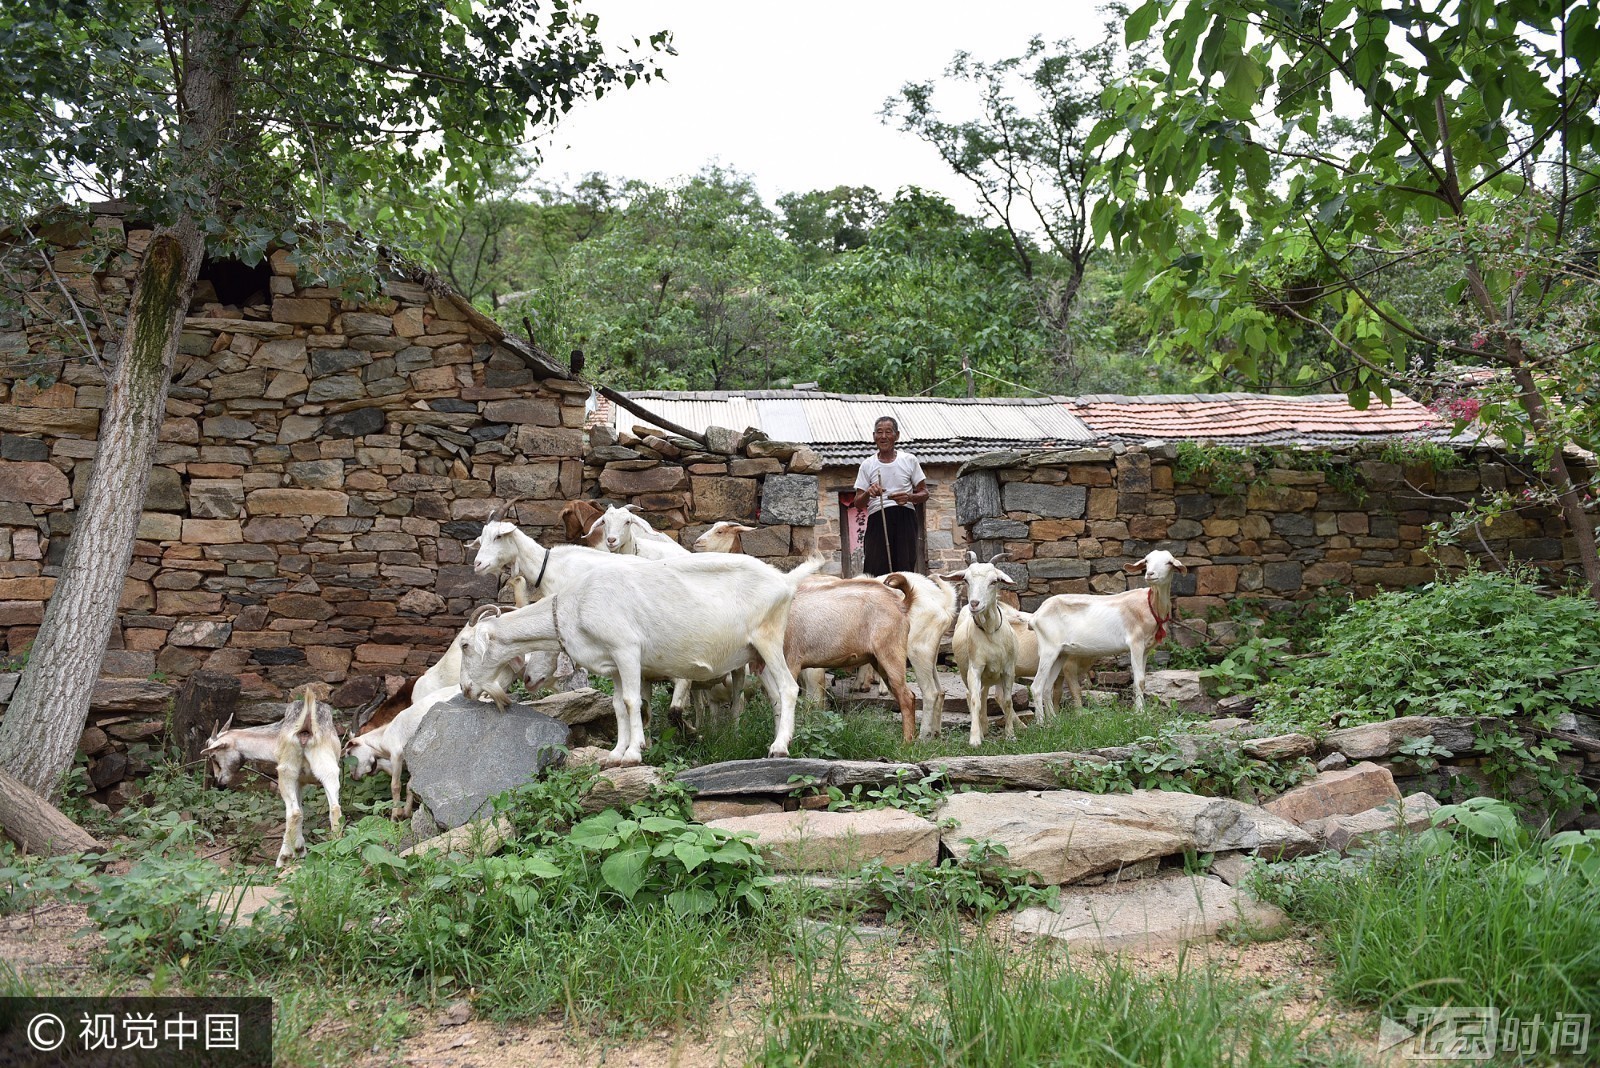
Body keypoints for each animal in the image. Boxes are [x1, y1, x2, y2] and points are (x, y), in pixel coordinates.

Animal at [203, 693, 344, 869]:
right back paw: (335, 849)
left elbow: (297, 811)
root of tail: (307, 726)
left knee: (294, 813)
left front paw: (297, 850)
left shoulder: (294, 780)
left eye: (213, 756)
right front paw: (300, 849)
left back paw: (282, 858)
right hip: (329, 769)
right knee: (334, 808)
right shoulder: (301, 782)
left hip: (285, 772)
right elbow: (303, 809)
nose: (219, 782)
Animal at [464, 524, 812, 757]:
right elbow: (620, 704)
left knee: (789, 688)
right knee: (775, 696)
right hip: (755, 656)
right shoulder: (613, 663)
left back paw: (778, 748)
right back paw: (780, 740)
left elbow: (633, 702)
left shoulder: (627, 650)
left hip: (768, 639)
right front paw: (617, 754)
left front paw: (634, 753)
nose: (466, 690)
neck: (575, 600)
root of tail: (784, 580)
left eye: (465, 646)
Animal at [947, 556, 1024, 748]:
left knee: (983, 694)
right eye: (966, 580)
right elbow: (975, 700)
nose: (974, 604)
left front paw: (1010, 735)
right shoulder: (975, 668)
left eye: (994, 581)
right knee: (972, 696)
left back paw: (986, 727)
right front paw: (975, 738)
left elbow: (1007, 701)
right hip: (966, 671)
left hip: (989, 677)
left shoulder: (1008, 670)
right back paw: (982, 730)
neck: (989, 631)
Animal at [1024, 549, 1190, 716]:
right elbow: (1139, 681)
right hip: (1048, 650)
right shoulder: (1135, 643)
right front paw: (1140, 713)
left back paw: (1054, 720)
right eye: (1147, 561)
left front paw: (1140, 712)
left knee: (1047, 687)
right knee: (1036, 687)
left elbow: (1142, 682)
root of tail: (1035, 616)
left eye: (1169, 562)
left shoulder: (1146, 649)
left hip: (1061, 653)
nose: (1150, 574)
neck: (1150, 606)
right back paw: (1042, 721)